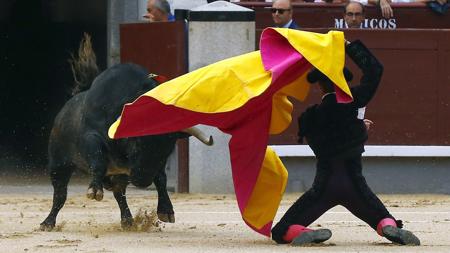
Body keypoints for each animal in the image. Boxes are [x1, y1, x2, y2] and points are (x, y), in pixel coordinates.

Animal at [40, 62, 213, 230]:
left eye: (168, 151)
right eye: (135, 142)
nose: (143, 181)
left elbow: (161, 178)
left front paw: (166, 211)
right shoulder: (92, 138)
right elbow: (98, 162)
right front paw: (94, 190)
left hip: (118, 175)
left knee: (119, 194)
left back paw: (127, 220)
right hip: (59, 164)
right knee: (60, 194)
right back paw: (47, 223)